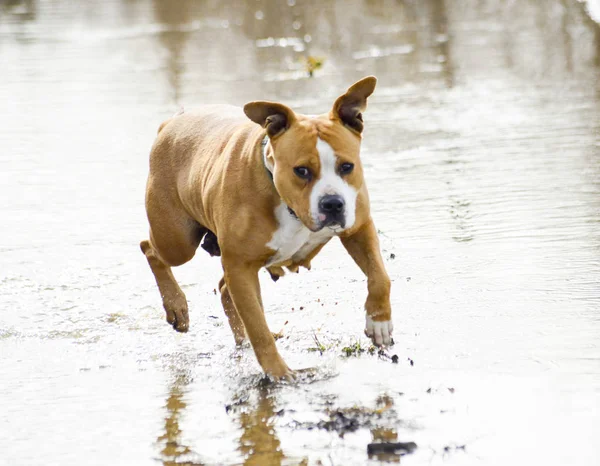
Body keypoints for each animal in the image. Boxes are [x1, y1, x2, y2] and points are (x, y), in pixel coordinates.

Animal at [141, 76, 394, 378]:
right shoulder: (240, 265)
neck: (289, 206)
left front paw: (379, 323)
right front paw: (279, 373)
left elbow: (379, 276)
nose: (332, 203)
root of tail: (172, 122)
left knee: (224, 289)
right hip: (178, 241)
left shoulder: (358, 228)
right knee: (151, 250)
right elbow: (258, 328)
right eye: (301, 171)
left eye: (347, 166)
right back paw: (176, 306)